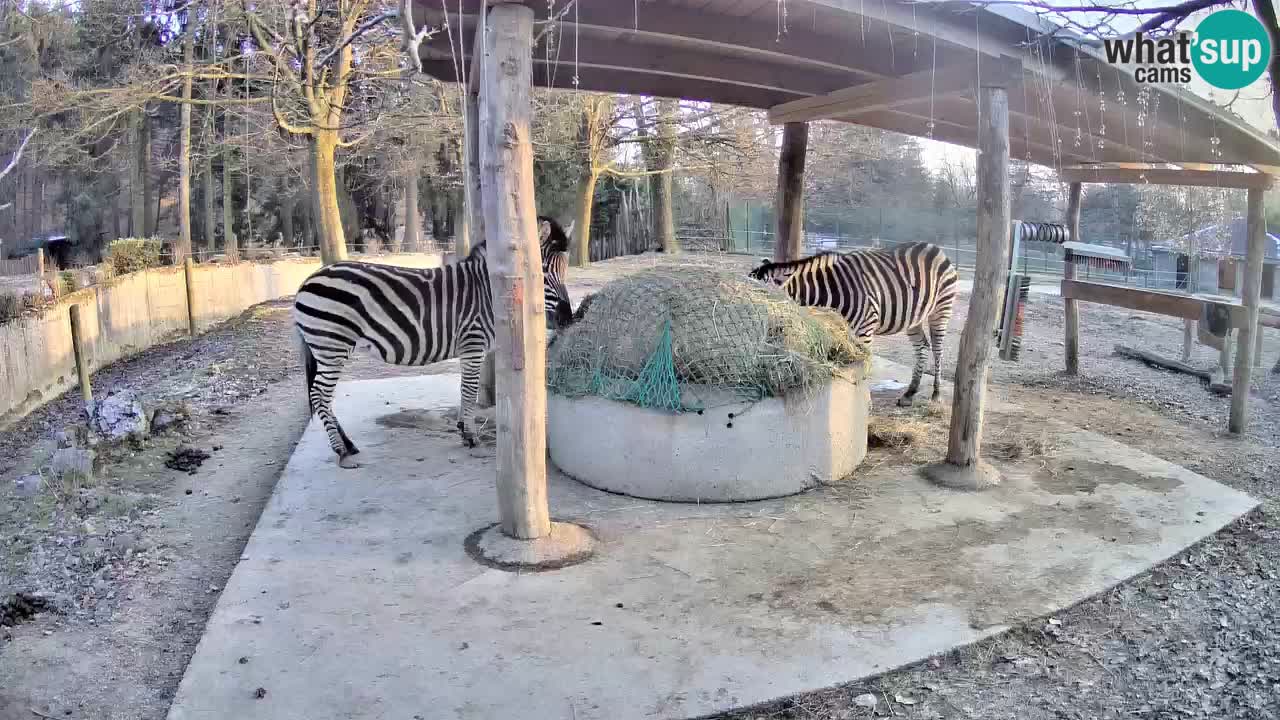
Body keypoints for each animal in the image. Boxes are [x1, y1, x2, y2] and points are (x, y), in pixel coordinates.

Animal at [294, 213, 576, 466]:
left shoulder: (469, 347)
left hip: (326, 349)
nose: (567, 319)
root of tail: (306, 282)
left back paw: (348, 444)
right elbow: (469, 390)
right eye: (542, 271)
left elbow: (464, 389)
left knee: (322, 396)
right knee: (319, 395)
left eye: (565, 269)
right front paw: (470, 436)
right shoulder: (473, 344)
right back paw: (341, 450)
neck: (488, 291)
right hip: (332, 345)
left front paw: (462, 427)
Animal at [747, 242, 962, 407]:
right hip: (913, 317)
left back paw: (936, 394)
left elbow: (864, 370)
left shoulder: (866, 329)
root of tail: (934, 247)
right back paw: (909, 394)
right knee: (922, 347)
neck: (830, 291)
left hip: (941, 308)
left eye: (759, 295)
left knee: (937, 349)